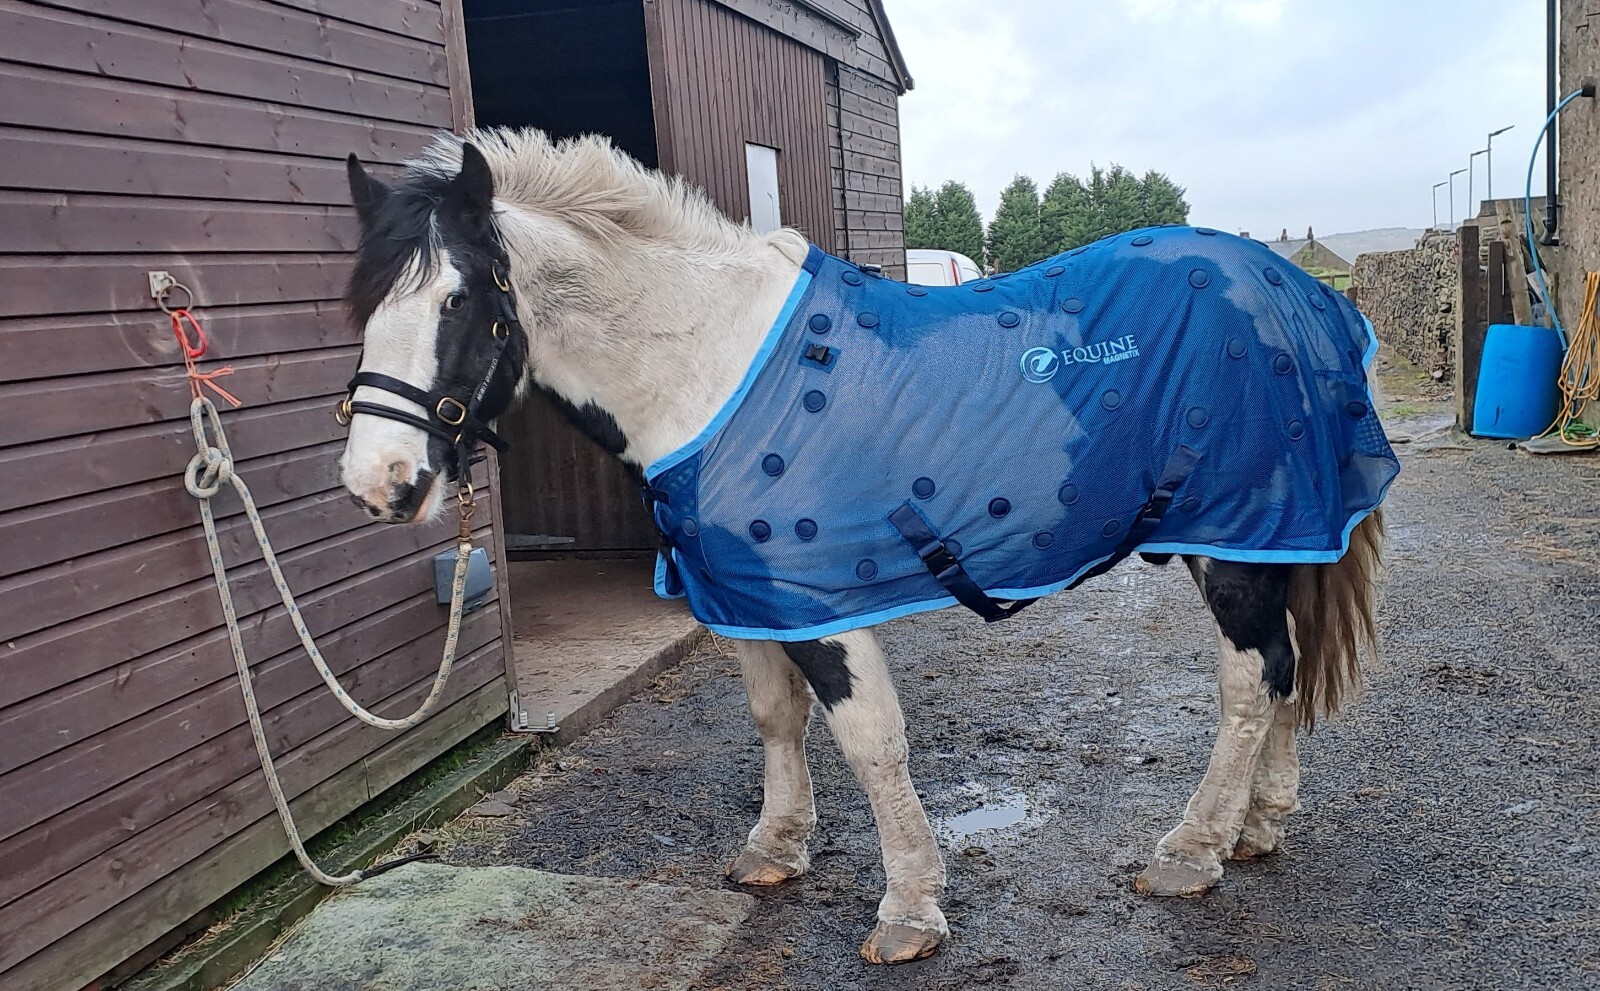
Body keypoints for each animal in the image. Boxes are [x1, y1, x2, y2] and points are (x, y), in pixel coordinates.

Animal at [336, 128, 1390, 966]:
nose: (380, 480)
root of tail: (1300, 291)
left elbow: (870, 740)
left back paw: (1192, 850)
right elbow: (775, 718)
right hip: (1274, 538)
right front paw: (776, 847)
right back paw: (1258, 827)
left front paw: (910, 908)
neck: (708, 366)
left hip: (1236, 542)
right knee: (1284, 668)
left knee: (1250, 680)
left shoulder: (822, 602)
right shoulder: (749, 596)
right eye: (364, 307)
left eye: (459, 299)